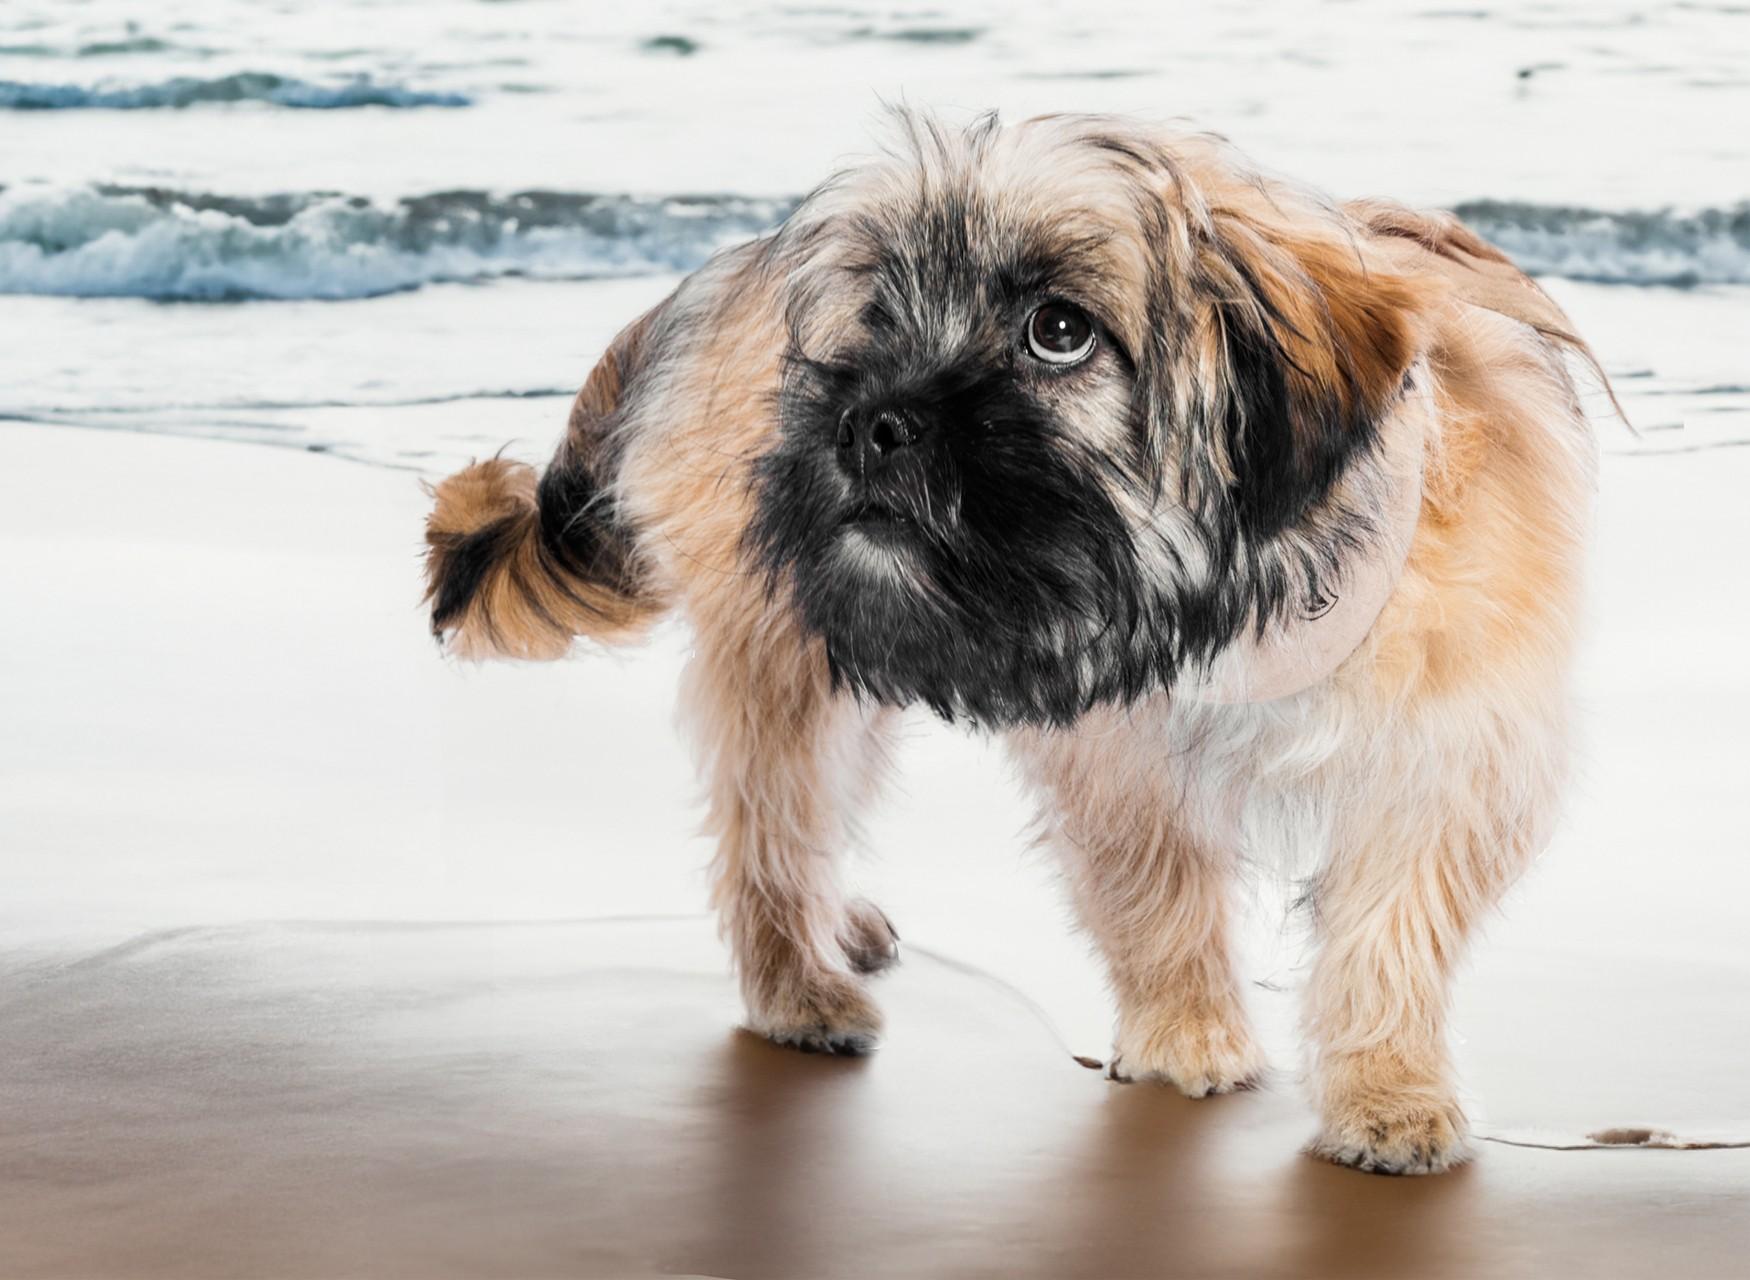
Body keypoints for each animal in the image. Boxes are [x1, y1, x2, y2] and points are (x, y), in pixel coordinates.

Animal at [420, 115, 1603, 1176]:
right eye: (879, 316)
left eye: (1058, 329)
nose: (868, 421)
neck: (1240, 604)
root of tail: (722, 276)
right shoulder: (1118, 756)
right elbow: (1155, 887)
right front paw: (1189, 1037)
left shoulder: (1443, 749)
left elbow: (1392, 928)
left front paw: (1387, 1092)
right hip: (795, 645)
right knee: (771, 827)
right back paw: (797, 984)